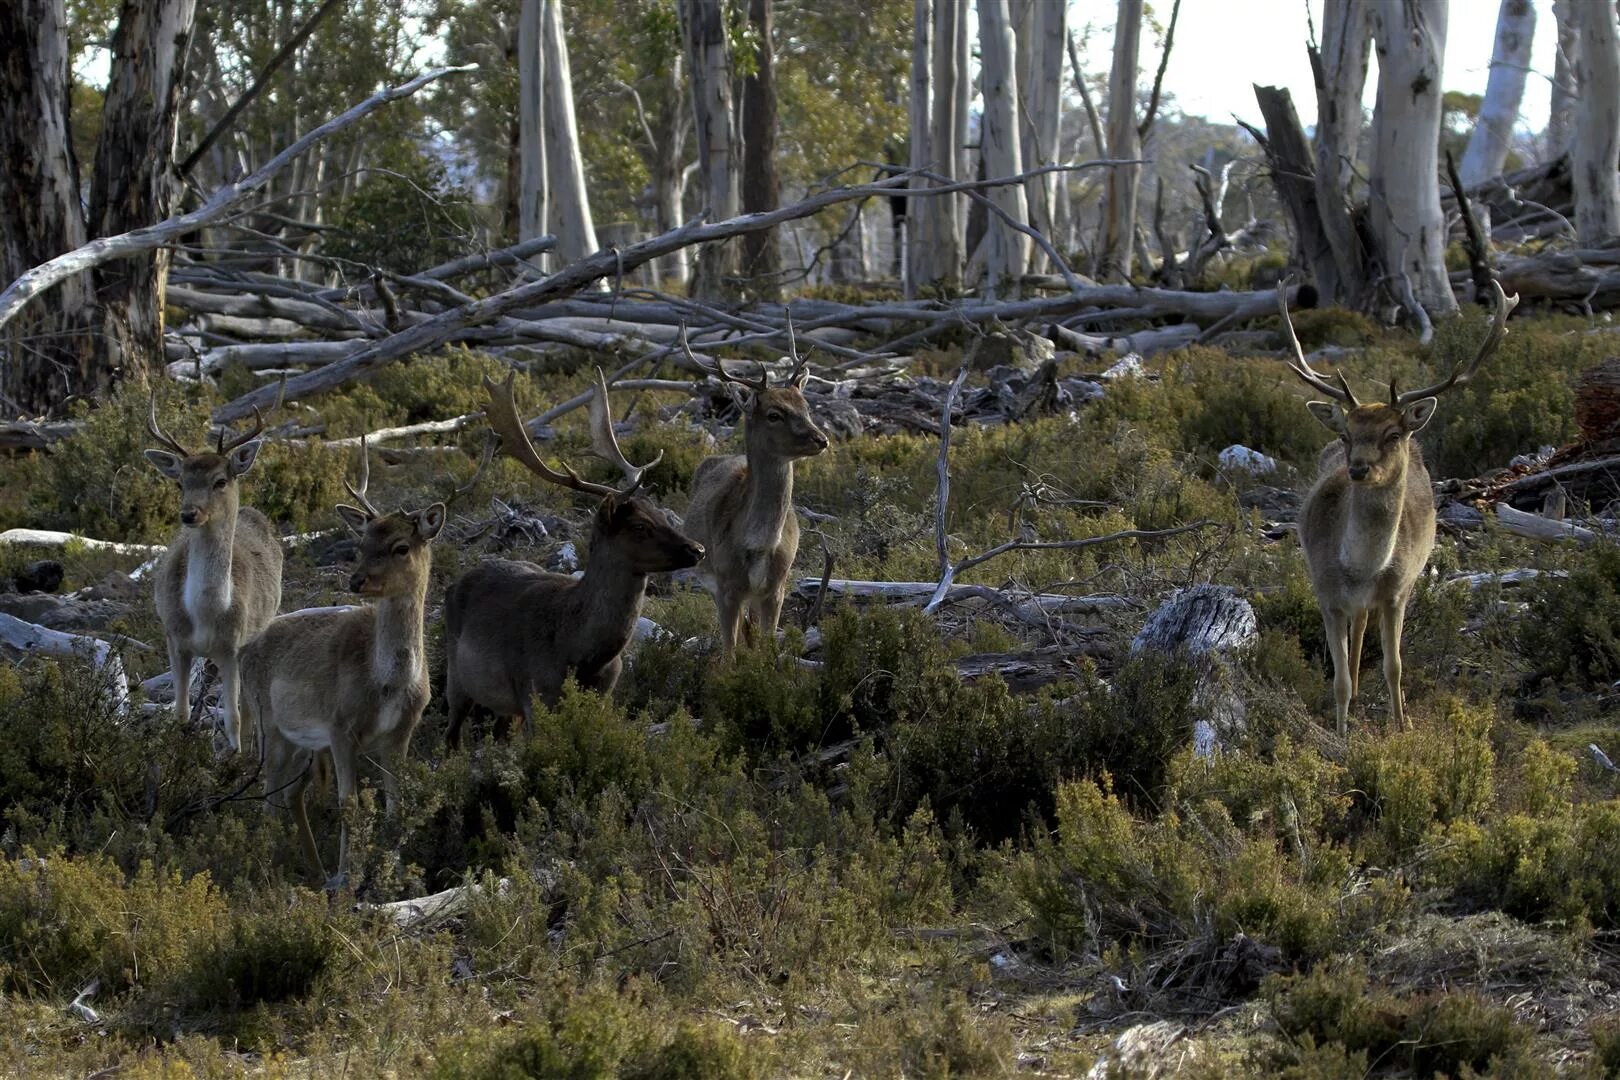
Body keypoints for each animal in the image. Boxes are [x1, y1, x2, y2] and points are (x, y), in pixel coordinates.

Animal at [144, 393, 283, 757]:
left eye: (220, 480)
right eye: (181, 481)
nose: (189, 514)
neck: (205, 614)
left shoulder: (231, 646)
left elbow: (232, 717)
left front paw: (233, 758)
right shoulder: (174, 638)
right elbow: (179, 713)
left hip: (254, 639)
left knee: (248, 708)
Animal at [243, 433, 466, 893]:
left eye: (401, 546)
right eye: (361, 546)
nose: (356, 580)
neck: (388, 685)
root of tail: (242, 649)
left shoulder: (400, 733)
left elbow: (395, 804)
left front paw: (395, 878)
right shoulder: (339, 726)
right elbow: (350, 804)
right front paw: (348, 879)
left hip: (302, 741)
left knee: (290, 793)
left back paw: (312, 868)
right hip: (268, 723)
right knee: (268, 793)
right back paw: (270, 866)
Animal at [443, 367, 703, 748]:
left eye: (661, 513)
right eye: (639, 526)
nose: (697, 549)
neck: (581, 654)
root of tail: (455, 583)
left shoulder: (605, 693)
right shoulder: (536, 692)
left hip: (504, 705)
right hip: (457, 677)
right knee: (450, 733)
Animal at [673, 317, 829, 654]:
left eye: (806, 406)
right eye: (774, 414)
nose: (821, 439)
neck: (760, 546)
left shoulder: (776, 588)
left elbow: (765, 647)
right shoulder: (726, 586)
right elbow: (728, 653)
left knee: (751, 630)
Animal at [1276, 278, 1516, 738]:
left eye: (1392, 434)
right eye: (1348, 434)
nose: (1357, 468)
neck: (1361, 569)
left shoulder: (1397, 591)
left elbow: (1394, 667)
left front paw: (1400, 726)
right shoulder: (1325, 592)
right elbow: (1338, 678)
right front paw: (1341, 731)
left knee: (1366, 630)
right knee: (1354, 637)